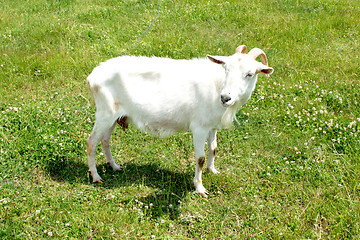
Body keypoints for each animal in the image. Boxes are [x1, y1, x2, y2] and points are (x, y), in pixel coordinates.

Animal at [86, 45, 272, 197]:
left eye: (249, 74)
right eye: (226, 69)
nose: (225, 98)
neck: (216, 85)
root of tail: (92, 76)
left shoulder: (212, 126)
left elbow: (213, 148)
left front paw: (213, 170)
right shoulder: (199, 127)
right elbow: (200, 158)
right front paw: (199, 187)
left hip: (114, 116)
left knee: (105, 140)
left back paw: (114, 166)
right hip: (105, 113)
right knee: (92, 141)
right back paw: (96, 176)